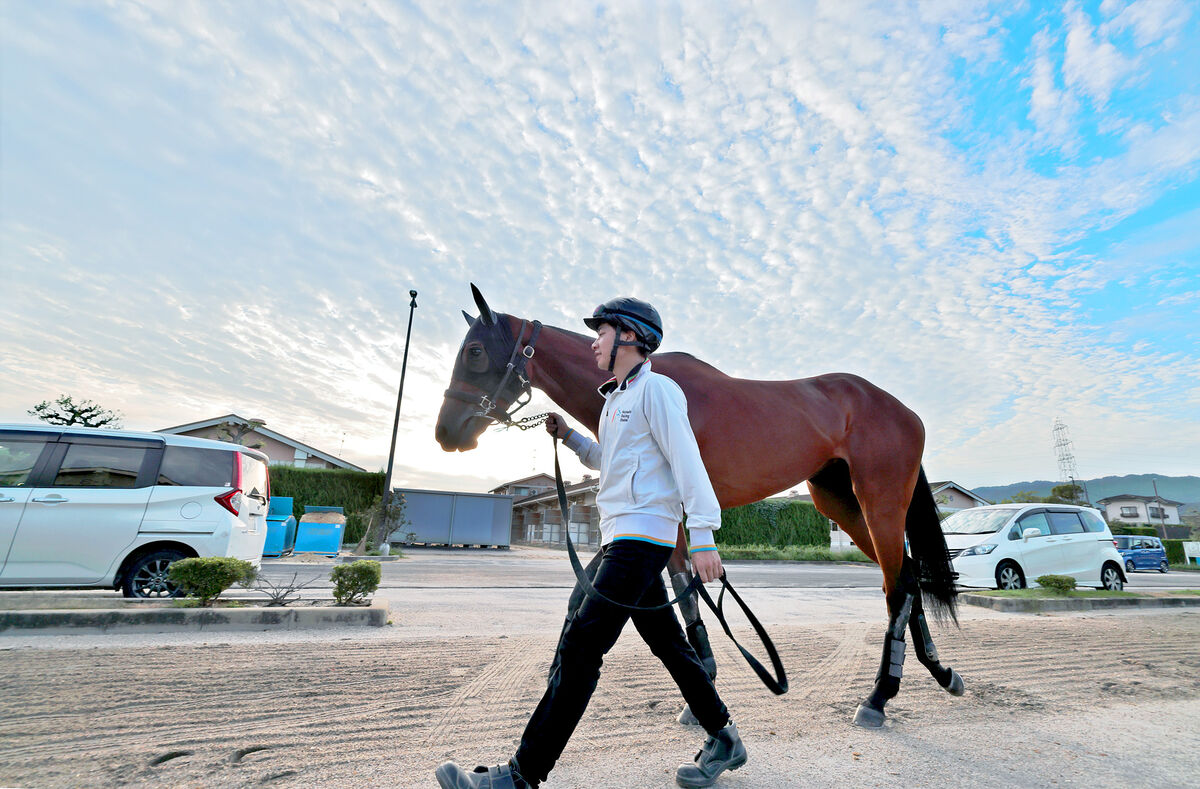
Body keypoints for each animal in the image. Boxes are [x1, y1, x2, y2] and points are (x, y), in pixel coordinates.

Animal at [436, 282, 960, 724]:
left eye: (475, 351)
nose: (446, 432)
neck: (644, 380)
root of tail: (900, 409)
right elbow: (662, 591)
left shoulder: (674, 514)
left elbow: (682, 586)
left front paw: (701, 682)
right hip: (843, 506)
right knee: (906, 576)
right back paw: (938, 671)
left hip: (880, 503)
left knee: (898, 584)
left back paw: (879, 696)